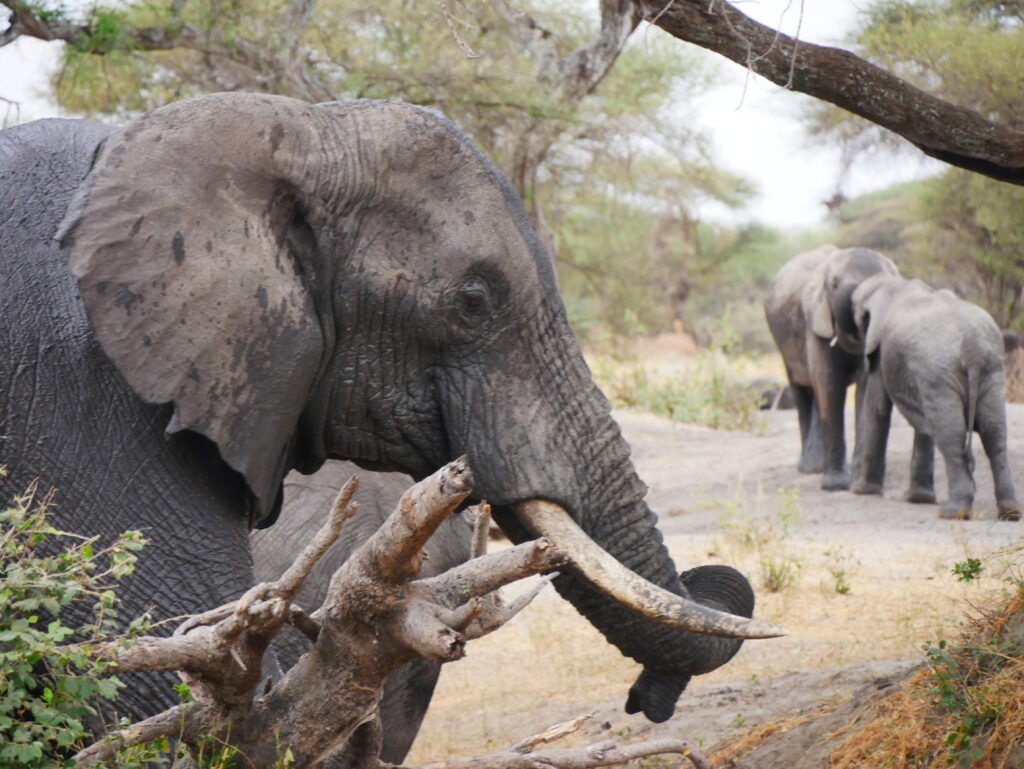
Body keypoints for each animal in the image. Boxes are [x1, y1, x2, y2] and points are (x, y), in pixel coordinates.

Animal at [765, 243, 901, 489]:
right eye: (834, 285)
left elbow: (864, 391)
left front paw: (857, 480)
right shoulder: (816, 322)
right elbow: (830, 387)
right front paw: (836, 485)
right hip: (786, 351)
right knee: (803, 392)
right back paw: (809, 468)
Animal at [843, 274, 1019, 520]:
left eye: (858, 316)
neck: (897, 284)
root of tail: (972, 348)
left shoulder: (883, 351)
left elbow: (878, 409)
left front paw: (862, 491)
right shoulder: (919, 372)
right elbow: (923, 423)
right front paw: (917, 499)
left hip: (942, 374)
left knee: (951, 437)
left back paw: (953, 512)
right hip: (990, 372)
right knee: (995, 434)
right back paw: (1010, 511)